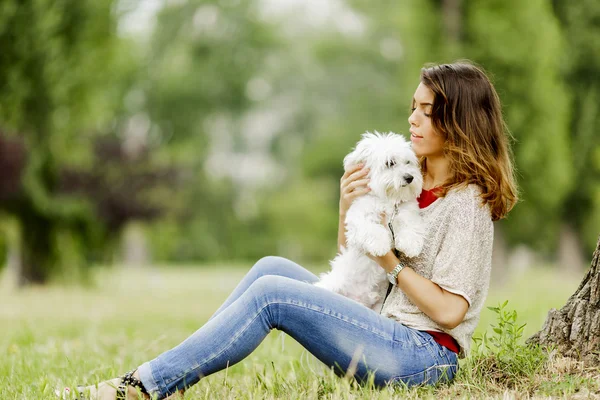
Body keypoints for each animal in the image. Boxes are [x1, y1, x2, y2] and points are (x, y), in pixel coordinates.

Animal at [314, 131, 426, 310]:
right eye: (390, 163)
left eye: (408, 162)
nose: (409, 177)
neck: (388, 200)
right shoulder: (358, 217)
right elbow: (371, 229)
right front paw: (380, 245)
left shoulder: (406, 211)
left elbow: (411, 224)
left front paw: (411, 244)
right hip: (332, 285)